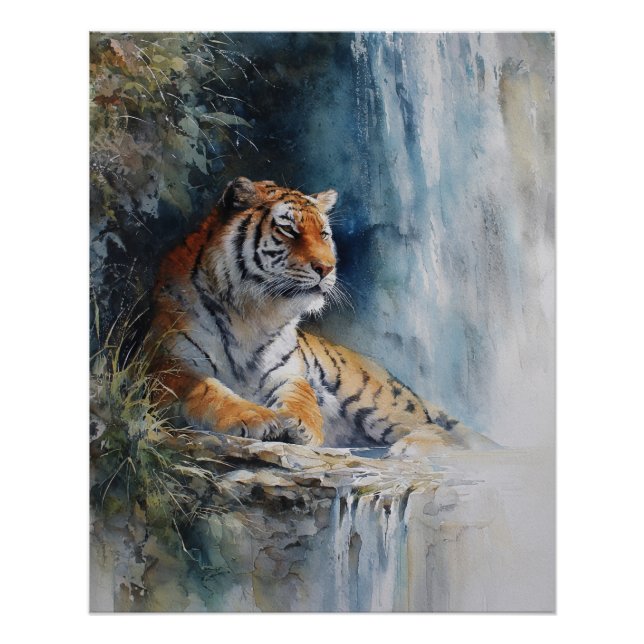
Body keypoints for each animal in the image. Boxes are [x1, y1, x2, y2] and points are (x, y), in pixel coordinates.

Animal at [147, 177, 491, 456]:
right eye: (289, 229)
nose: (327, 268)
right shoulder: (169, 366)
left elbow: (302, 396)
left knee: (445, 434)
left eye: (324, 234)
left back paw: (409, 449)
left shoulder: (287, 372)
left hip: (371, 398)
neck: (252, 312)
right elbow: (210, 390)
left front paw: (301, 425)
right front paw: (257, 418)